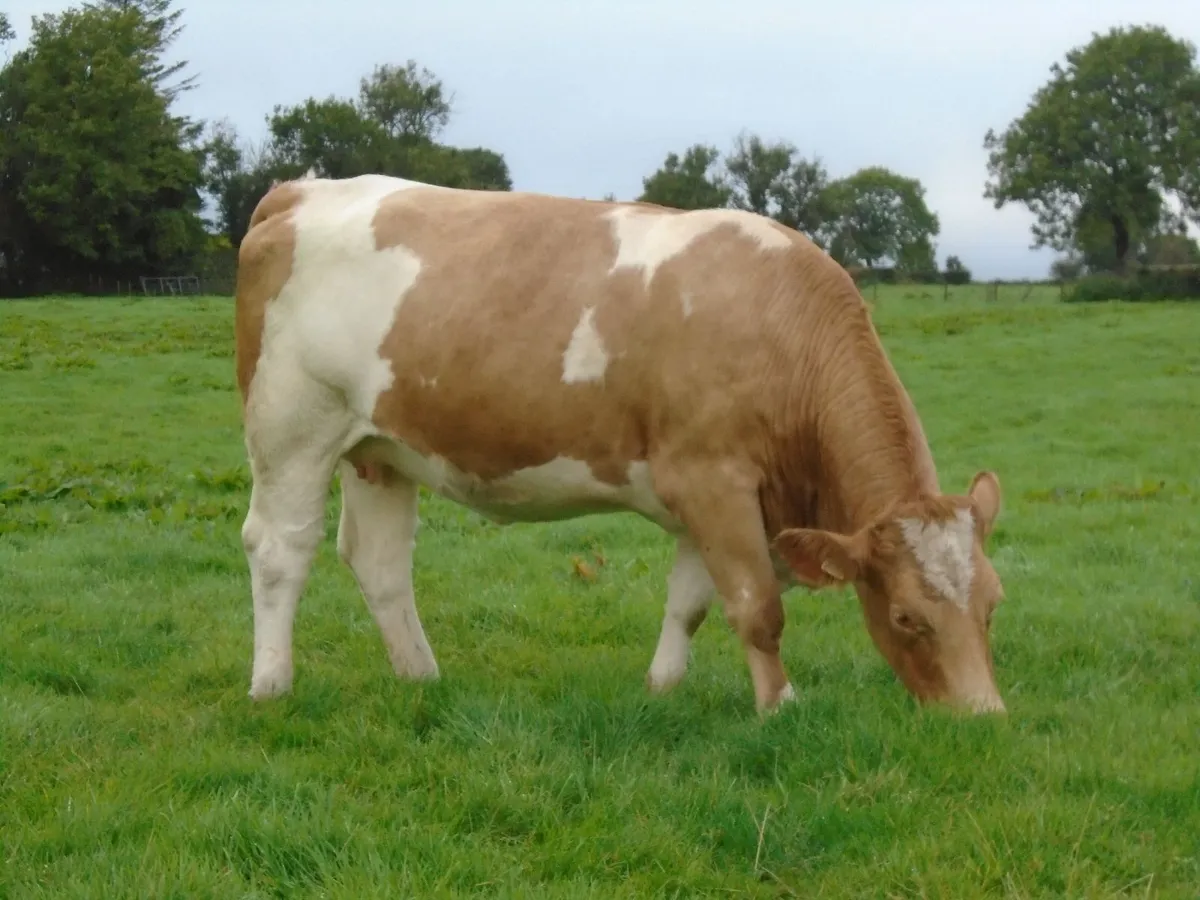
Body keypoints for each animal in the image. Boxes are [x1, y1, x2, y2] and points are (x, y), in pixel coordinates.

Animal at [234, 172, 1008, 716]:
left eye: (994, 602)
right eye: (906, 617)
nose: (983, 718)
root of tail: (301, 190)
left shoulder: (717, 498)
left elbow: (691, 601)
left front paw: (662, 687)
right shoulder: (713, 480)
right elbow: (756, 605)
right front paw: (780, 707)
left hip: (380, 449)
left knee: (379, 560)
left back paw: (421, 677)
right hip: (292, 427)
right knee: (280, 549)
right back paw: (272, 683)